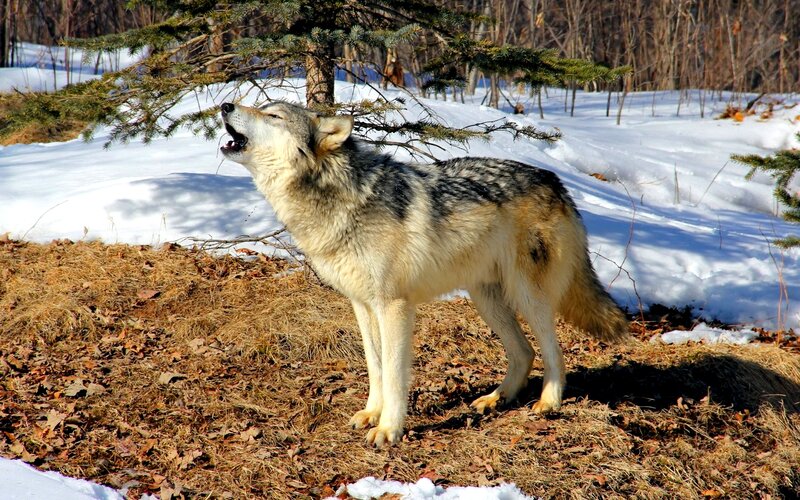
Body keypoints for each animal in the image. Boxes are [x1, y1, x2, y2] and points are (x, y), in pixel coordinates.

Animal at [219, 101, 628, 447]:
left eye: (273, 116)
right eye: (260, 107)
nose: (224, 105)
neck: (340, 199)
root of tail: (556, 181)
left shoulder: (394, 307)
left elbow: (395, 375)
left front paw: (389, 429)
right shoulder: (363, 305)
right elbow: (375, 367)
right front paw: (372, 413)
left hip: (528, 297)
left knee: (553, 351)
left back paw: (548, 403)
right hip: (486, 301)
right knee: (524, 353)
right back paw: (495, 399)